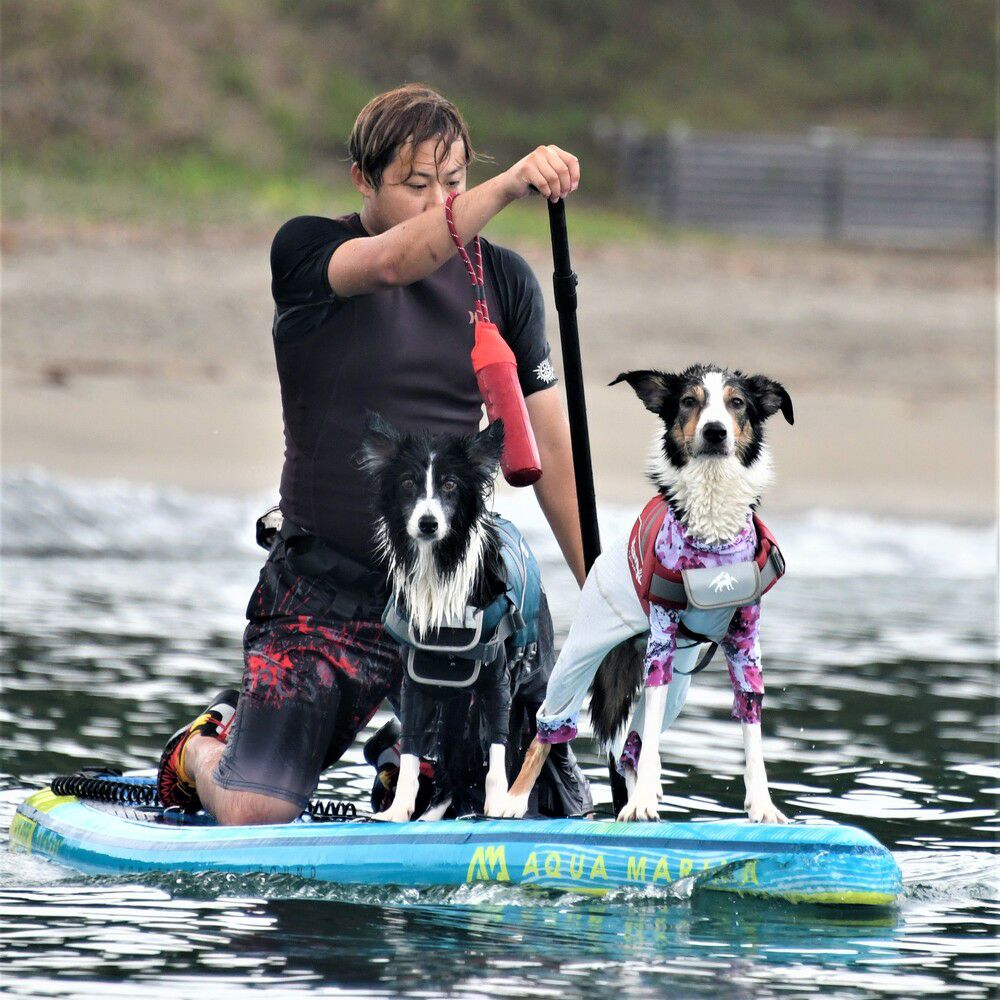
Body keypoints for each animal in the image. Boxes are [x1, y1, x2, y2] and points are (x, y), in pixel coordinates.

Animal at [360, 413, 525, 822]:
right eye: (407, 484)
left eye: (450, 485)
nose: (428, 523)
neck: (438, 568)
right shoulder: (415, 683)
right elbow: (410, 753)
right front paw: (398, 811)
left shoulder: (497, 682)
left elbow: (497, 751)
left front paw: (497, 805)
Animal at [504, 365, 793, 823]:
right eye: (689, 401)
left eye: (737, 403)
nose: (715, 432)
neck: (712, 539)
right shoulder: (662, 631)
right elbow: (651, 727)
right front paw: (639, 803)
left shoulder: (745, 641)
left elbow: (752, 730)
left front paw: (763, 807)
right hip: (581, 658)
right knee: (549, 729)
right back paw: (513, 800)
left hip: (680, 680)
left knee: (632, 744)